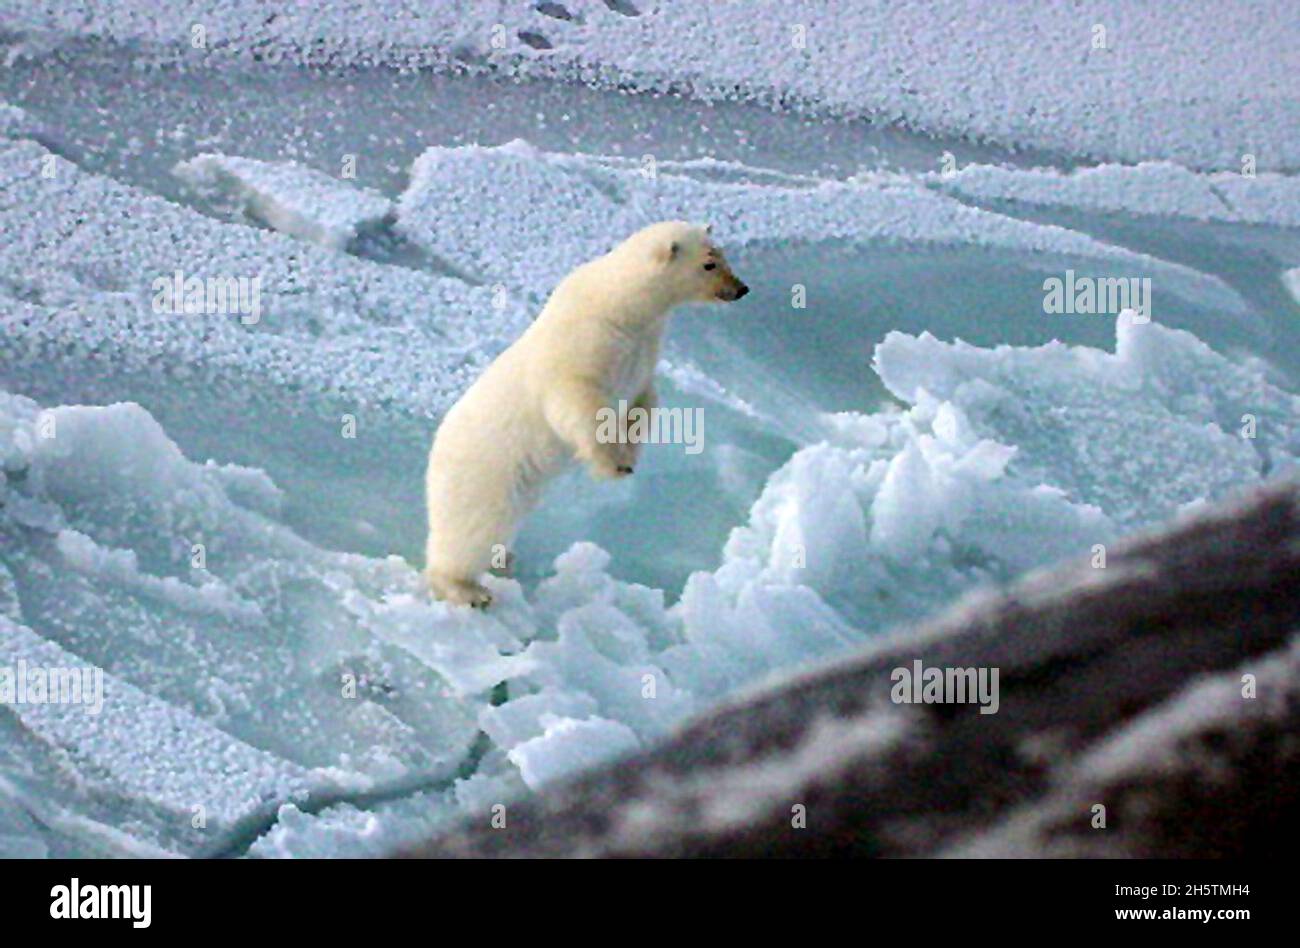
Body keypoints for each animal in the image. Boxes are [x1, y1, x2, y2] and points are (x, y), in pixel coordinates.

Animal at [426, 219, 754, 605]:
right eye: (708, 264)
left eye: (723, 254)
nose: (741, 288)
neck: (621, 307)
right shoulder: (582, 345)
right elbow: (576, 404)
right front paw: (614, 465)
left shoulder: (644, 348)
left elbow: (644, 401)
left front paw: (630, 451)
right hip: (484, 475)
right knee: (473, 529)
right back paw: (467, 589)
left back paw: (504, 559)